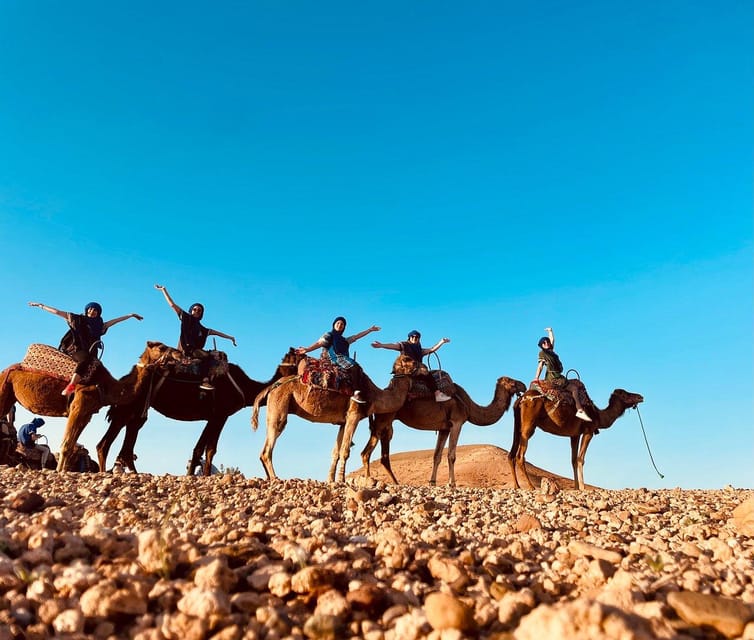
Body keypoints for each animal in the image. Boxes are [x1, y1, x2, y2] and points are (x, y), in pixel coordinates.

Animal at [0, 356, 148, 470]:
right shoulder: (79, 406)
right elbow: (66, 444)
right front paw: (59, 472)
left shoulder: (87, 414)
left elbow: (71, 445)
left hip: (10, 396)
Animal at [97, 344, 300, 476]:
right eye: (300, 357)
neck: (245, 386)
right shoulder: (220, 415)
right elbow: (208, 449)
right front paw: (203, 475)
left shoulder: (214, 416)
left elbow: (202, 449)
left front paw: (196, 474)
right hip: (131, 406)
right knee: (108, 441)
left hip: (140, 409)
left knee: (128, 439)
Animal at [253, 352, 418, 482]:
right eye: (409, 359)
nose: (422, 366)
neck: (373, 395)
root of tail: (271, 387)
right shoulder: (354, 415)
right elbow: (345, 450)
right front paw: (341, 480)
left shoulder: (343, 422)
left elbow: (335, 452)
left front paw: (331, 480)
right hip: (279, 406)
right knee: (268, 446)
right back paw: (275, 478)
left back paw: (269, 477)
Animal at [358, 376, 524, 484]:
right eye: (511, 380)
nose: (523, 385)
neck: (469, 406)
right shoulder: (457, 422)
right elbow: (451, 455)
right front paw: (452, 484)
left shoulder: (444, 428)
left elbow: (437, 456)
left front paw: (432, 482)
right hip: (384, 418)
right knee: (366, 452)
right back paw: (369, 480)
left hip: (387, 423)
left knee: (383, 455)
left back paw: (394, 482)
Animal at [506, 384, 640, 490]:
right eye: (625, 394)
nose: (640, 397)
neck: (597, 415)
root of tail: (521, 399)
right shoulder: (588, 431)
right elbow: (581, 459)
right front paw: (583, 487)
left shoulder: (574, 435)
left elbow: (573, 460)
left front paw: (576, 487)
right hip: (529, 425)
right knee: (520, 455)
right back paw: (530, 486)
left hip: (518, 424)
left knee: (511, 454)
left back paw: (516, 485)